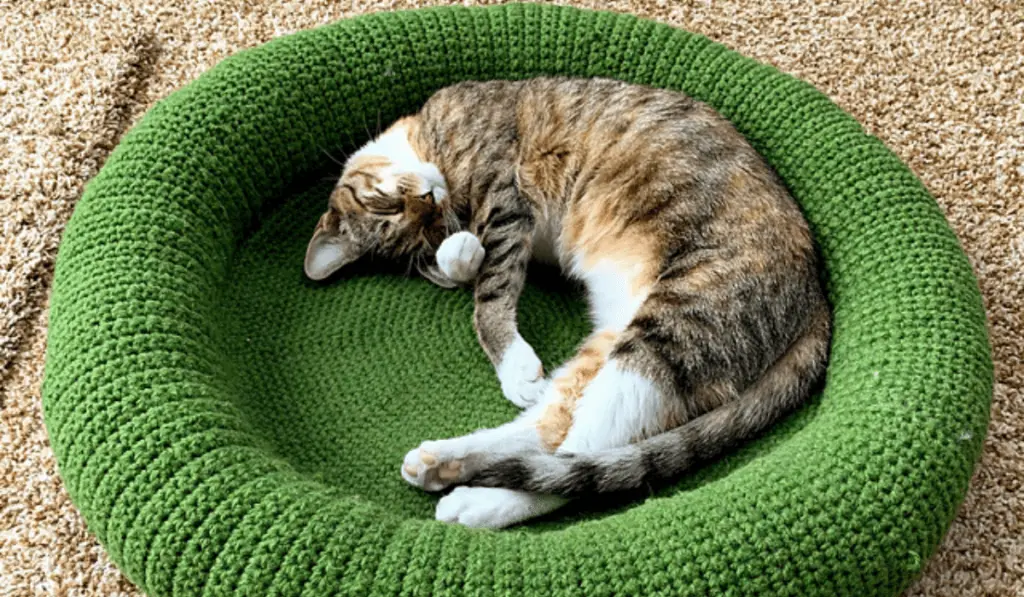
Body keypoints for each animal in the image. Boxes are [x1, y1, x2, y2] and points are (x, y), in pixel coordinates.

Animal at [303, 77, 831, 528]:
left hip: (671, 329)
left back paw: (475, 498)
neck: (429, 141)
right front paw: (458, 256)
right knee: (554, 435)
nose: (431, 201)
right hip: (625, 336)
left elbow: (490, 290)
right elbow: (468, 273)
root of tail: (817, 298)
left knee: (575, 462)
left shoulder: (504, 195)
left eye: (388, 204)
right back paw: (444, 462)